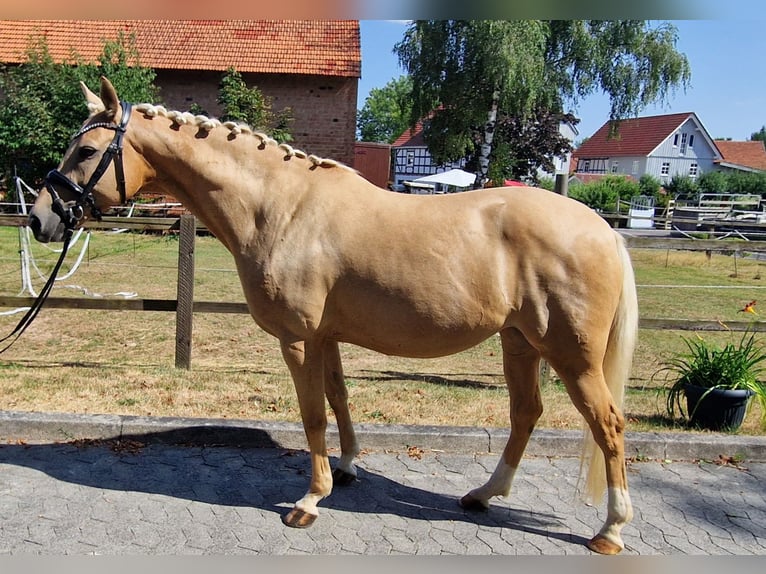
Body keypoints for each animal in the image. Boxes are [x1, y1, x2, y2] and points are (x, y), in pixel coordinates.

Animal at [29, 77, 638, 554]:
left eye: (87, 152)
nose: (40, 219)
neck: (280, 208)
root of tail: (602, 227)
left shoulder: (298, 339)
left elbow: (312, 415)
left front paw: (309, 499)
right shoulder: (328, 337)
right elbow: (341, 401)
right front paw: (345, 470)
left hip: (572, 357)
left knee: (608, 425)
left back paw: (610, 531)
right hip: (519, 342)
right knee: (526, 414)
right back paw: (483, 496)